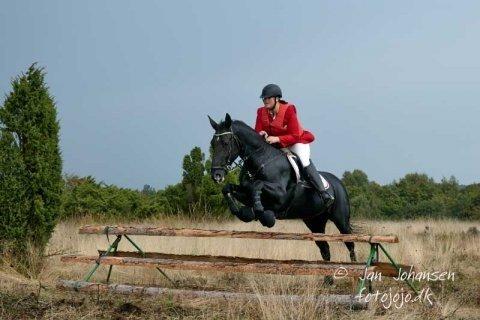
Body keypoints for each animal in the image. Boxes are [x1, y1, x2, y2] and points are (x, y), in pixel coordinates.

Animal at [207, 112, 356, 270]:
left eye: (225, 143)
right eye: (212, 143)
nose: (216, 175)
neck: (263, 159)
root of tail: (339, 182)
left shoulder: (280, 195)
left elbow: (257, 185)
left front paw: (260, 211)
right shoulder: (245, 193)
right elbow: (229, 188)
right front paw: (241, 211)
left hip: (341, 220)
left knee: (350, 244)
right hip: (314, 221)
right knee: (325, 249)